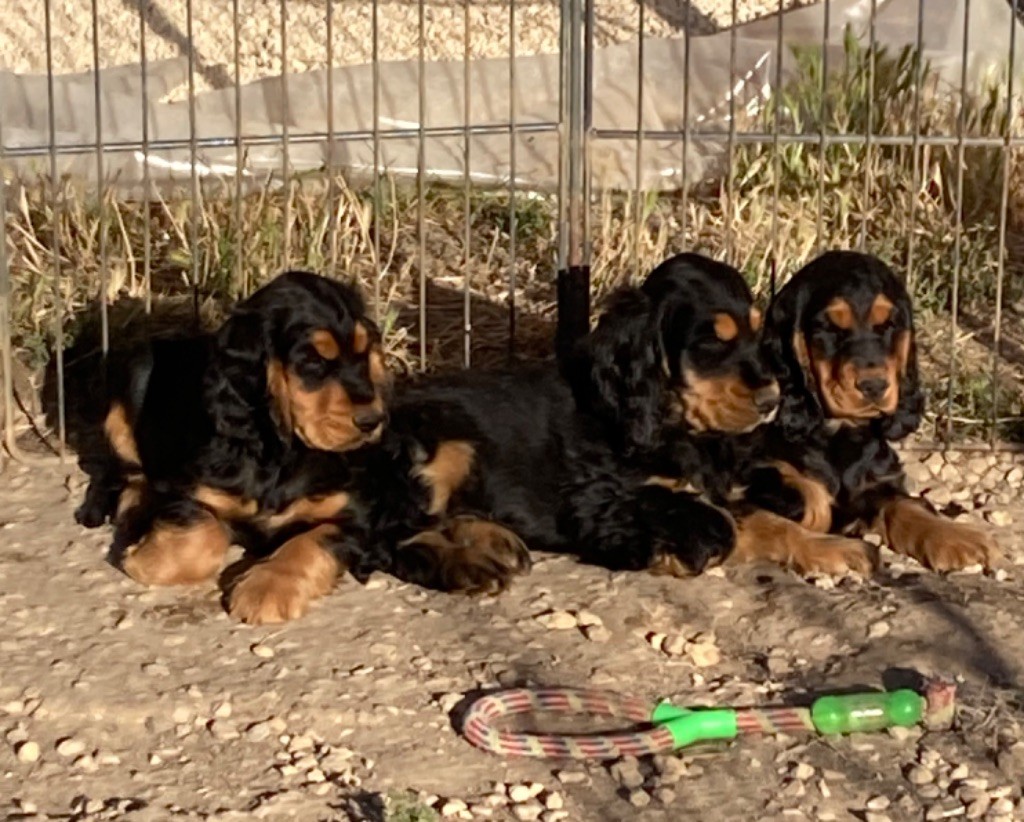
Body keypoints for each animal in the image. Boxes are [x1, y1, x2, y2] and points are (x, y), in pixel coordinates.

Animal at [745, 250, 999, 573]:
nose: (874, 386)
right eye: (829, 328)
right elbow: (794, 506)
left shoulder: (879, 481)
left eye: (889, 325)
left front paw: (957, 537)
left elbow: (907, 505)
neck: (839, 434)